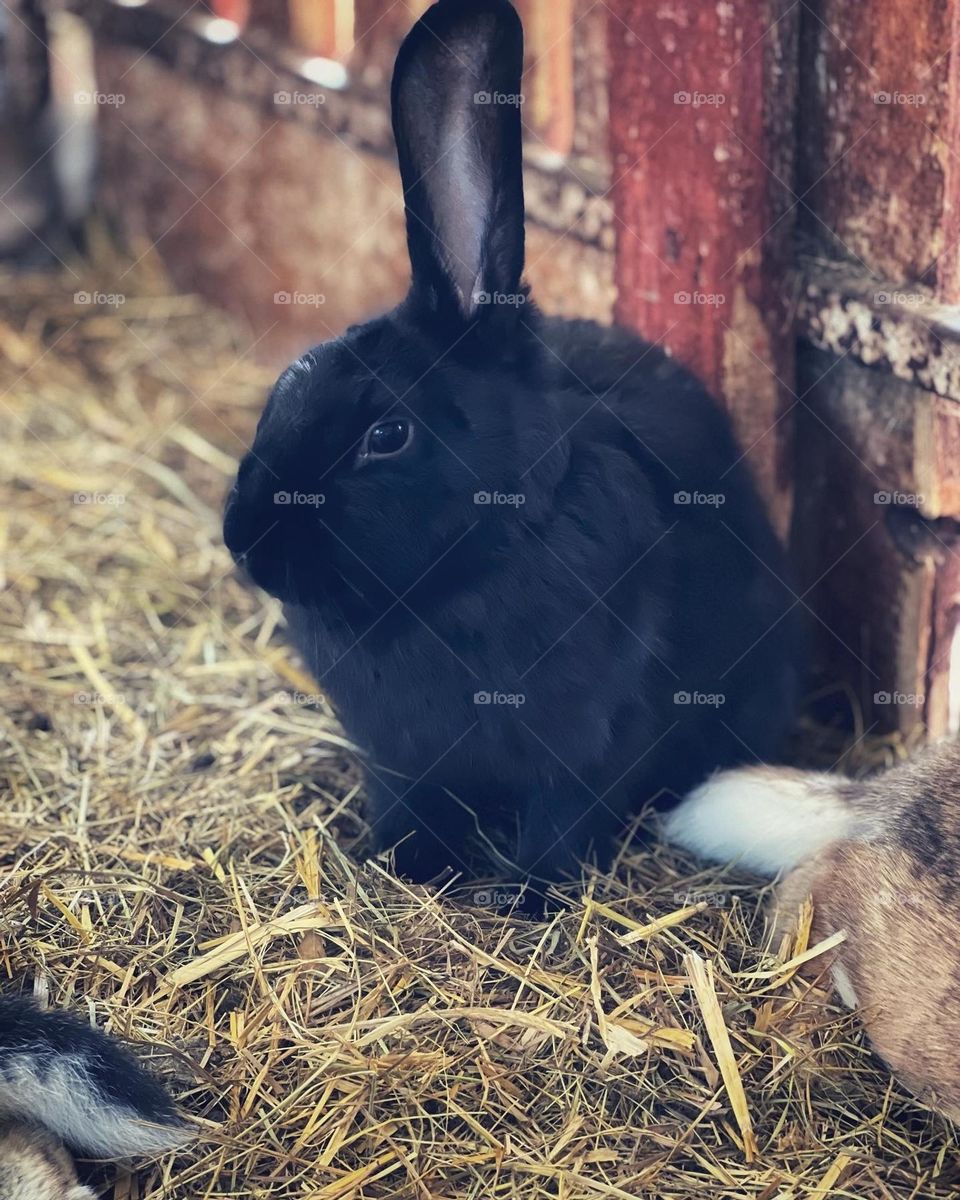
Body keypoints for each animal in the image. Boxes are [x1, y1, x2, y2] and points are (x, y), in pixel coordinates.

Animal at [223, 0, 802, 891]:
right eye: (285, 388)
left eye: (387, 434)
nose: (245, 543)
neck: (470, 568)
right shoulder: (400, 762)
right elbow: (410, 806)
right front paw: (410, 867)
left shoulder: (592, 749)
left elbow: (563, 823)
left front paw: (531, 898)